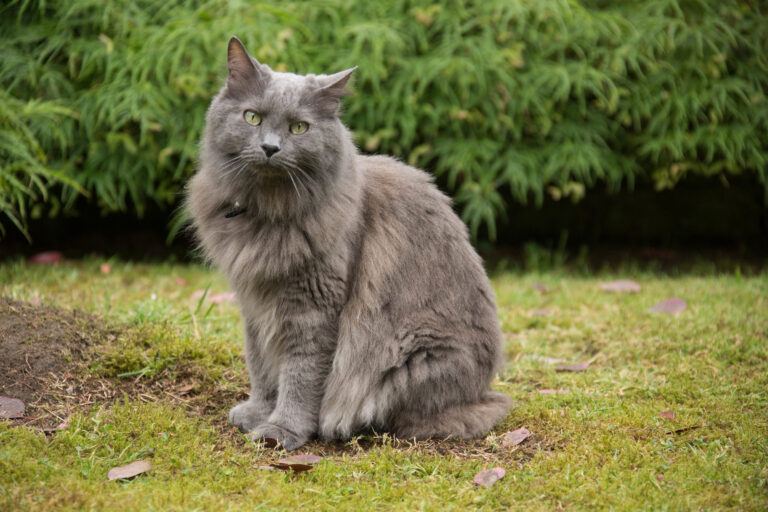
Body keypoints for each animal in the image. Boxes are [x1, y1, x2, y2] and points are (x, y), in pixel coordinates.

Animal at [186, 37, 510, 452]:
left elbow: (300, 376)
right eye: (252, 118)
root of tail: (481, 392)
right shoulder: (255, 302)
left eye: (299, 127)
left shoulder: (314, 308)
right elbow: (261, 365)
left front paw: (282, 430)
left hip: (410, 354)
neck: (267, 214)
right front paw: (258, 412)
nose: (271, 148)